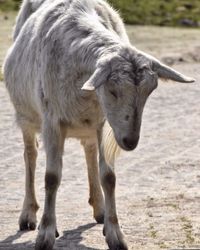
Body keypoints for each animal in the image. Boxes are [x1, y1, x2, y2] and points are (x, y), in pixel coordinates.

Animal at [2, 0, 194, 250]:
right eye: (112, 90)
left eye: (149, 91)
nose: (130, 141)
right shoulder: (52, 120)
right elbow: (51, 177)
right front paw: (45, 235)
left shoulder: (105, 123)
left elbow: (109, 177)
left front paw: (115, 235)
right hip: (26, 115)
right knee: (30, 155)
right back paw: (28, 215)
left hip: (90, 125)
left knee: (89, 150)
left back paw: (99, 208)